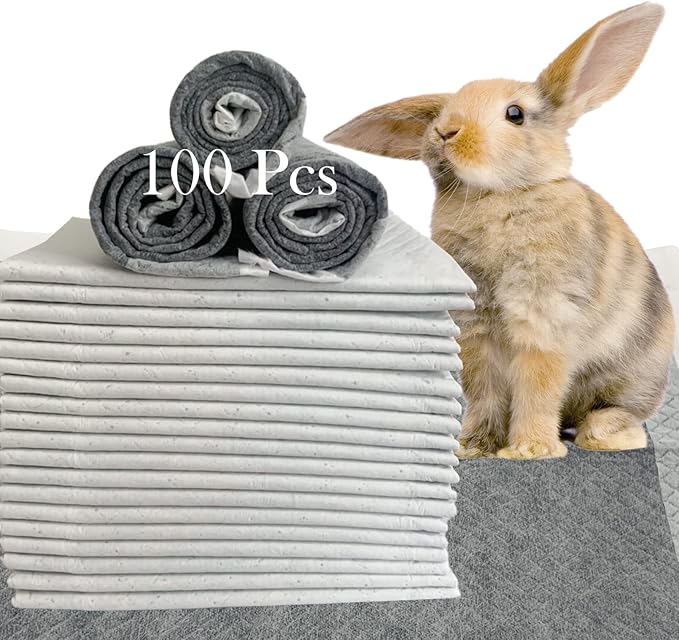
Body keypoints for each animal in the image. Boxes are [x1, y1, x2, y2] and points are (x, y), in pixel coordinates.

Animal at [324, 3, 674, 460]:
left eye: (515, 114)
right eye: (442, 113)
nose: (445, 131)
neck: (496, 196)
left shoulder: (542, 317)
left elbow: (538, 386)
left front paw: (528, 451)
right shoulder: (475, 329)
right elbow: (483, 390)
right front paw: (472, 448)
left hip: (630, 378)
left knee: (617, 413)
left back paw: (605, 436)